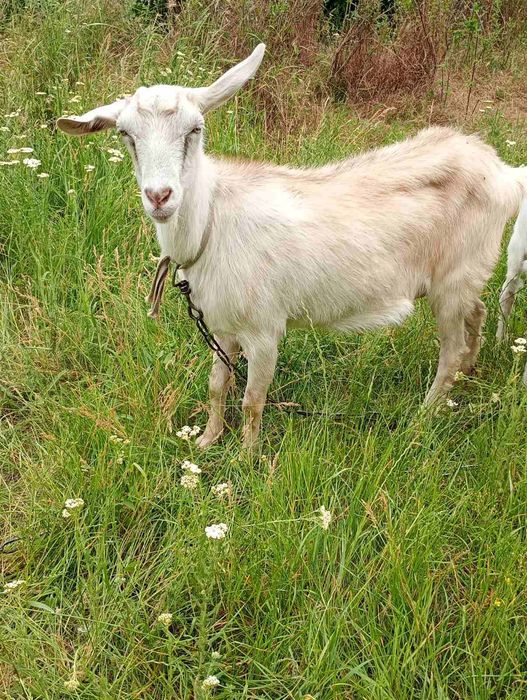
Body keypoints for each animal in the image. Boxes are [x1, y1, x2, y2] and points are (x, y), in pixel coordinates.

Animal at [57, 44, 527, 447]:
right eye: (125, 134)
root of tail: (502, 171)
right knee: (476, 313)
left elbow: (252, 401)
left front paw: (246, 459)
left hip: (453, 279)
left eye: (195, 128)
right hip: (465, 276)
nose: (159, 196)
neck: (214, 224)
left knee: (449, 352)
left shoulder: (265, 329)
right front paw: (208, 440)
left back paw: (423, 417)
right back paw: (470, 371)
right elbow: (216, 385)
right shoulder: (221, 325)